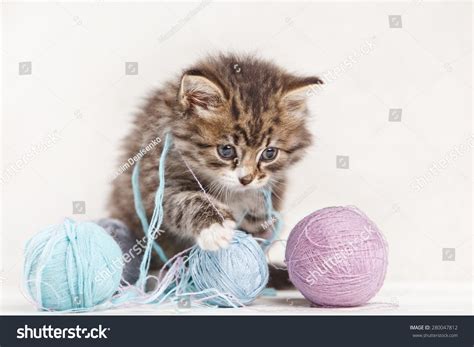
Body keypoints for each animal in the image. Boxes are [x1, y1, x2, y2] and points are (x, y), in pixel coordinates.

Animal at [108, 53, 322, 290]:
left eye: (269, 153)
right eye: (226, 150)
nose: (246, 179)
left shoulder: (267, 198)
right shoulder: (155, 182)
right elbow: (187, 200)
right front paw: (216, 226)